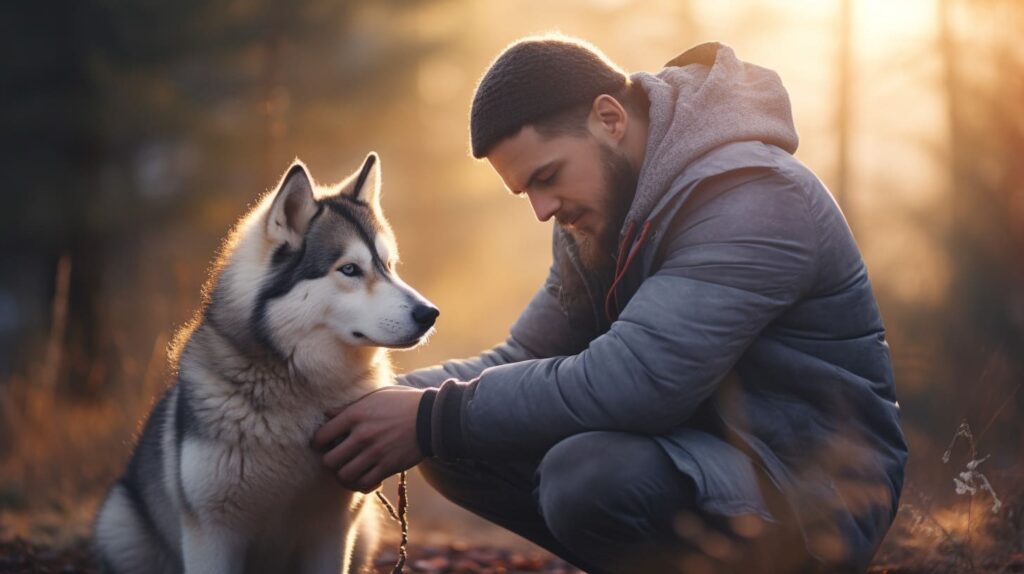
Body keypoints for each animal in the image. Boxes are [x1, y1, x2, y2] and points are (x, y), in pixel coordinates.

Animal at [91, 153, 436, 572]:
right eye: (350, 269)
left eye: (390, 265)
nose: (429, 314)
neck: (301, 390)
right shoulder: (212, 532)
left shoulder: (333, 530)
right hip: (120, 524)